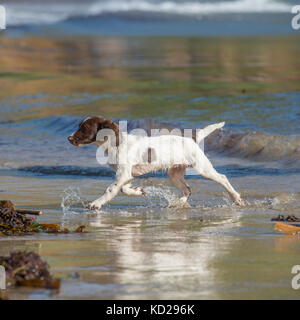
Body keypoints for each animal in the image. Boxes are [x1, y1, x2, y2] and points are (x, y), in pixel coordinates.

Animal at [68, 116, 244, 211]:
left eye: (84, 128)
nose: (69, 138)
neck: (115, 143)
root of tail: (193, 138)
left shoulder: (123, 173)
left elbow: (111, 189)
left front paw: (96, 204)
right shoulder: (127, 174)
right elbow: (124, 189)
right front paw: (138, 191)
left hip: (202, 167)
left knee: (222, 178)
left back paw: (236, 199)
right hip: (174, 173)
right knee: (187, 190)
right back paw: (177, 204)